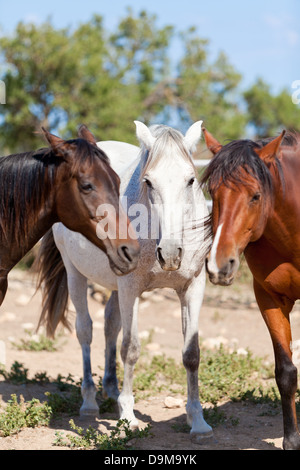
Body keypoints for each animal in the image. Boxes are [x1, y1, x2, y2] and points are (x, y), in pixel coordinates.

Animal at [35, 121, 213, 440]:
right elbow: (130, 350)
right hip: (76, 274)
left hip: (116, 288)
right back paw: (90, 401)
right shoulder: (131, 289)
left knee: (110, 326)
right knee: (85, 331)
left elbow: (191, 353)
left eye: (191, 180)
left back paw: (112, 390)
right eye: (149, 182)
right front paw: (128, 418)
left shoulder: (192, 288)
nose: (170, 253)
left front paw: (198, 421)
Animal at [200, 126, 300, 450]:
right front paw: (291, 439)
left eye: (256, 195)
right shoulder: (269, 299)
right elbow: (285, 373)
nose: (219, 265)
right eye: (212, 192)